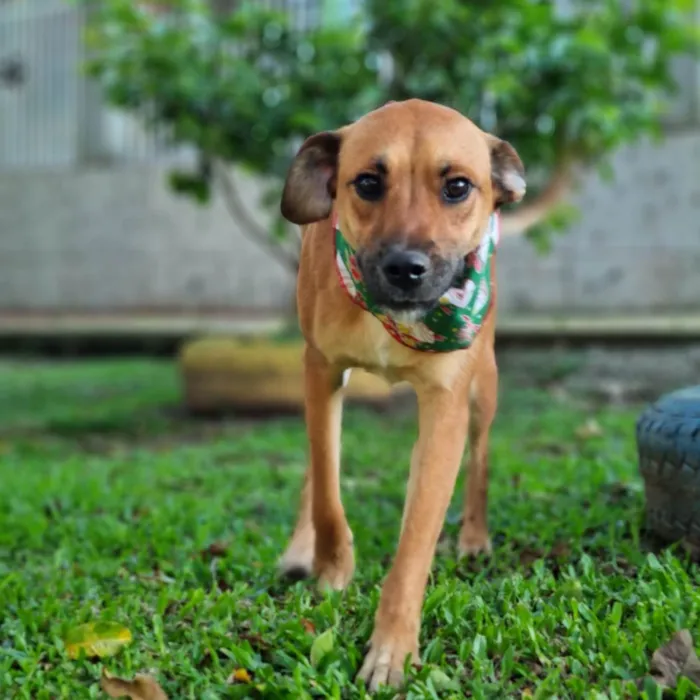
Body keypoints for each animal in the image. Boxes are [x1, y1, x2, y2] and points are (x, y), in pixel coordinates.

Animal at [276, 97, 568, 688]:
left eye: (456, 186)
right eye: (367, 182)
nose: (405, 269)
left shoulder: (445, 405)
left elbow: (414, 544)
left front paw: (391, 649)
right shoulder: (321, 371)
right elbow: (326, 491)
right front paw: (331, 568)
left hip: (484, 388)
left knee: (480, 461)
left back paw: (474, 538)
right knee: (318, 469)